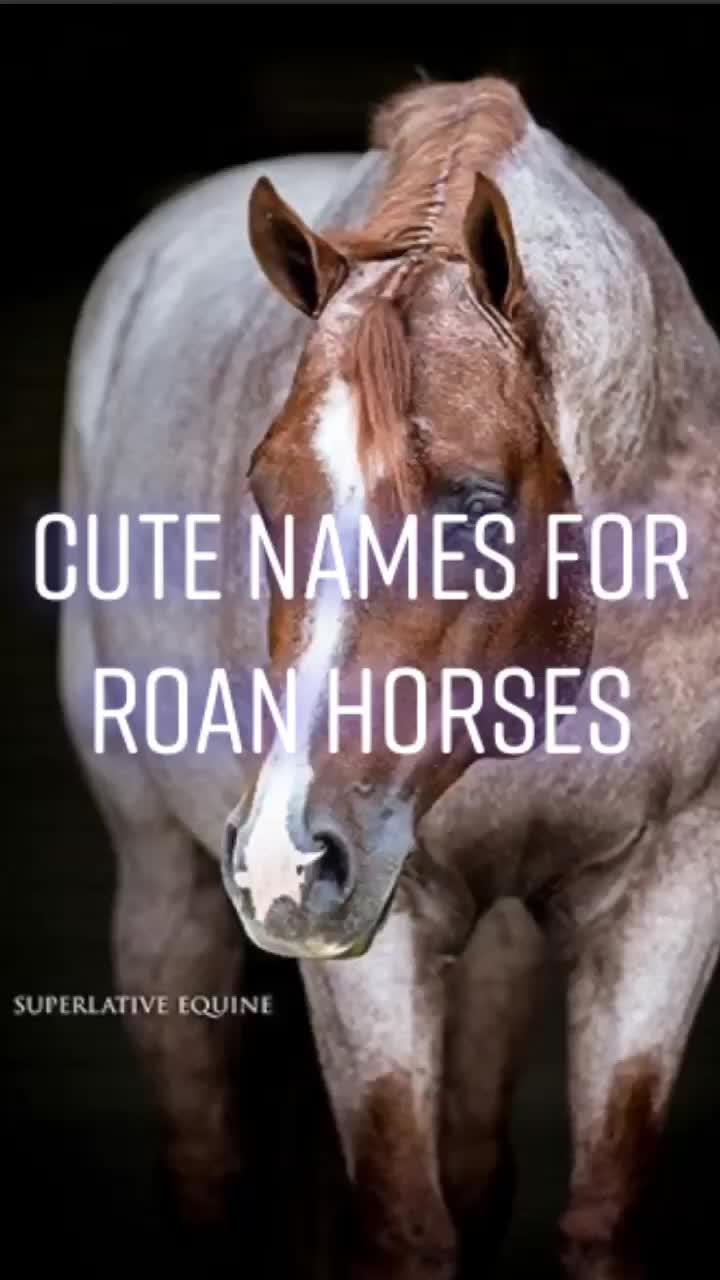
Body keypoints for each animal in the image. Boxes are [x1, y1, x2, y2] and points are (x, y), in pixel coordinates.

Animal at [57, 74, 720, 1279]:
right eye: (266, 492)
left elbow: (597, 1212)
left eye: (478, 507)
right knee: (203, 1166)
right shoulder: (377, 929)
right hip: (167, 885)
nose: (282, 855)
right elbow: (407, 1221)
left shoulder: (669, 889)